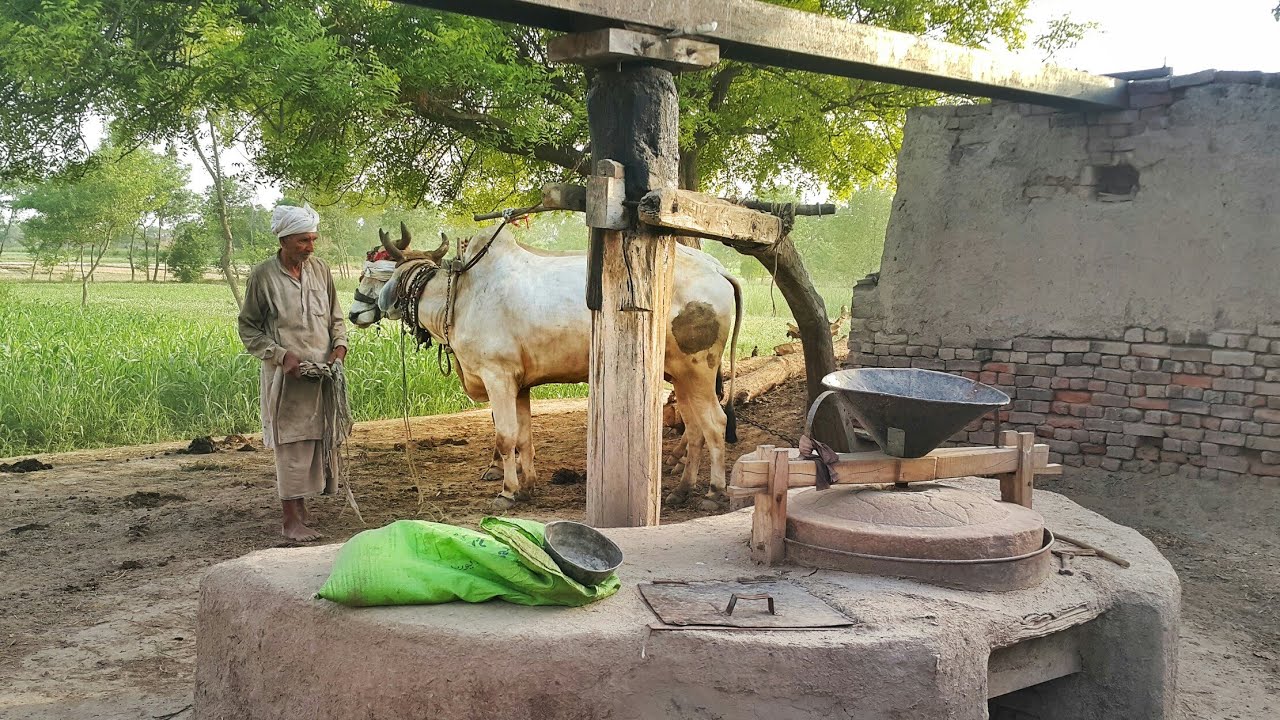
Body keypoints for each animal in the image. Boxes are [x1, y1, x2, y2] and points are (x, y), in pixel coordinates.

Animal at [348, 223, 741, 510]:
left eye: (371, 272)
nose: (354, 313)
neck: (457, 296)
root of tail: (718, 269)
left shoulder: (497, 376)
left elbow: (505, 436)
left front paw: (507, 491)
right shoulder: (519, 383)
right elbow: (523, 437)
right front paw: (528, 487)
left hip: (697, 369)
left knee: (715, 424)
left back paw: (714, 492)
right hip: (680, 374)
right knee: (695, 430)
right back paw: (681, 490)